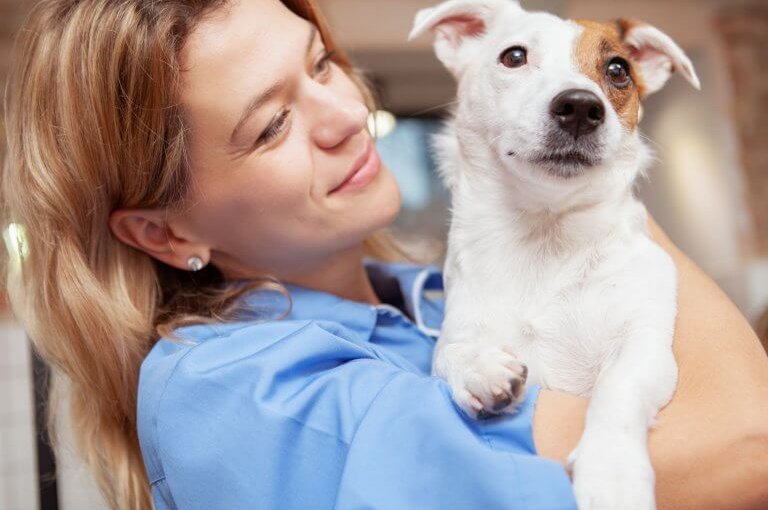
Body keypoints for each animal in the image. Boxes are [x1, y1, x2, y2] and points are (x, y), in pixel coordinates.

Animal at [412, 0, 700, 510]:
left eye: (618, 70)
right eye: (513, 56)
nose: (582, 106)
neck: (544, 234)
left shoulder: (644, 346)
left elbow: (617, 388)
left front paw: (612, 474)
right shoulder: (458, 328)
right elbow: (449, 353)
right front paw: (479, 369)